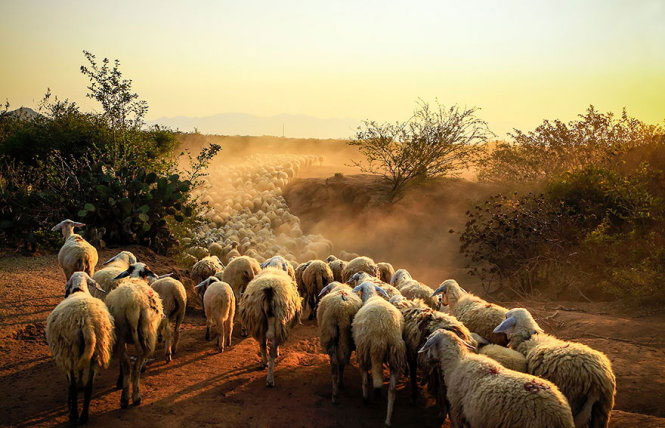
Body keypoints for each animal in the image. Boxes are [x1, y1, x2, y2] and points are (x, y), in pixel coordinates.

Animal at [46, 272, 114, 424]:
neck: (80, 290)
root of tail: (86, 323)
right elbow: (82, 372)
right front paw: (80, 383)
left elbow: (71, 384)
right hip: (97, 351)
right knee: (89, 387)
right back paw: (84, 416)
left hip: (68, 352)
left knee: (72, 387)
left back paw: (74, 414)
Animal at [105, 278, 164, 408]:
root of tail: (132, 306)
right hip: (146, 332)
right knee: (137, 365)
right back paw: (136, 397)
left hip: (120, 333)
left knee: (126, 364)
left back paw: (124, 398)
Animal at [351, 282, 406, 426]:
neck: (371, 296)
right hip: (395, 353)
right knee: (392, 390)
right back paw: (388, 419)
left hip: (363, 349)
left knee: (365, 378)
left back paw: (365, 399)